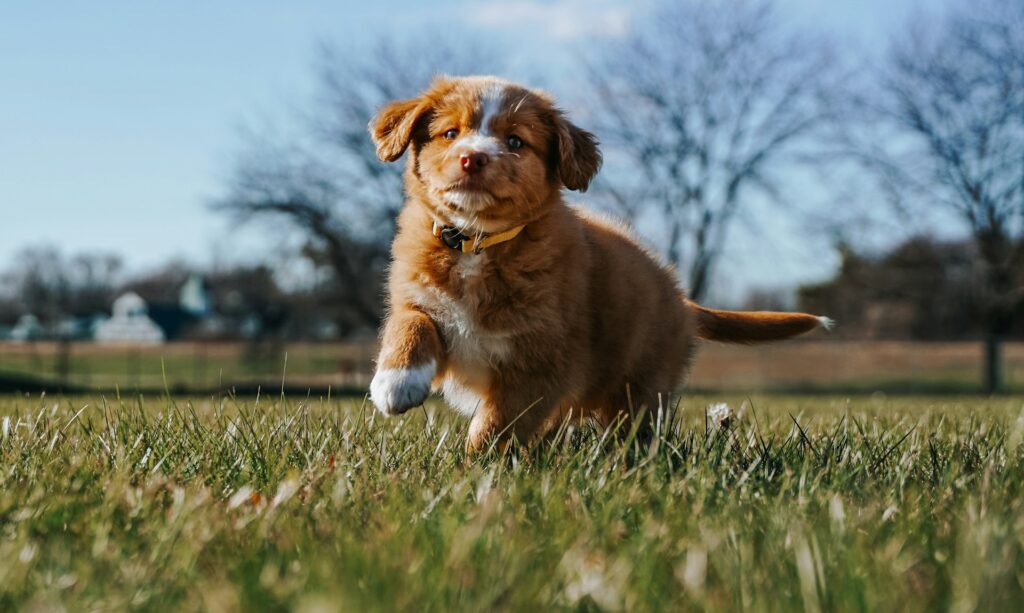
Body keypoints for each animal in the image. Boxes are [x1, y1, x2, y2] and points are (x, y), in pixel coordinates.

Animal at [368, 75, 831, 450]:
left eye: (515, 142)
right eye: (450, 133)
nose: (473, 158)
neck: (477, 244)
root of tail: (682, 300)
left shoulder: (540, 362)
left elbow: (497, 424)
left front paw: (476, 469)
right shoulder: (416, 293)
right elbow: (410, 323)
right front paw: (396, 382)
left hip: (638, 386)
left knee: (632, 429)